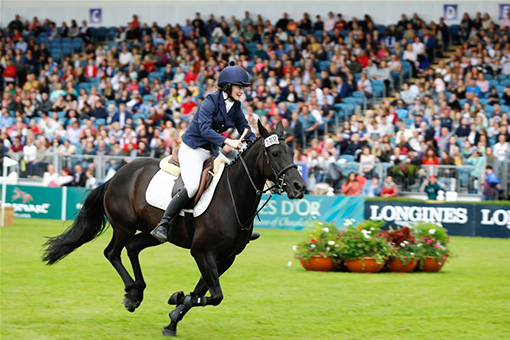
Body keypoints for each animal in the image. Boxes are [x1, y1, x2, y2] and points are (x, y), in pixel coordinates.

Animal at [41, 121, 304, 336]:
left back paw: (138, 292)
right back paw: (132, 293)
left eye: (292, 152)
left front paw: (173, 318)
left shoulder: (225, 258)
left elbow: (202, 293)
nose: (299, 187)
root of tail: (116, 175)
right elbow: (214, 295)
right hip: (124, 227)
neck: (232, 197)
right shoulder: (202, 253)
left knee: (133, 248)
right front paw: (176, 301)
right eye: (275, 153)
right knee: (112, 252)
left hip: (153, 234)